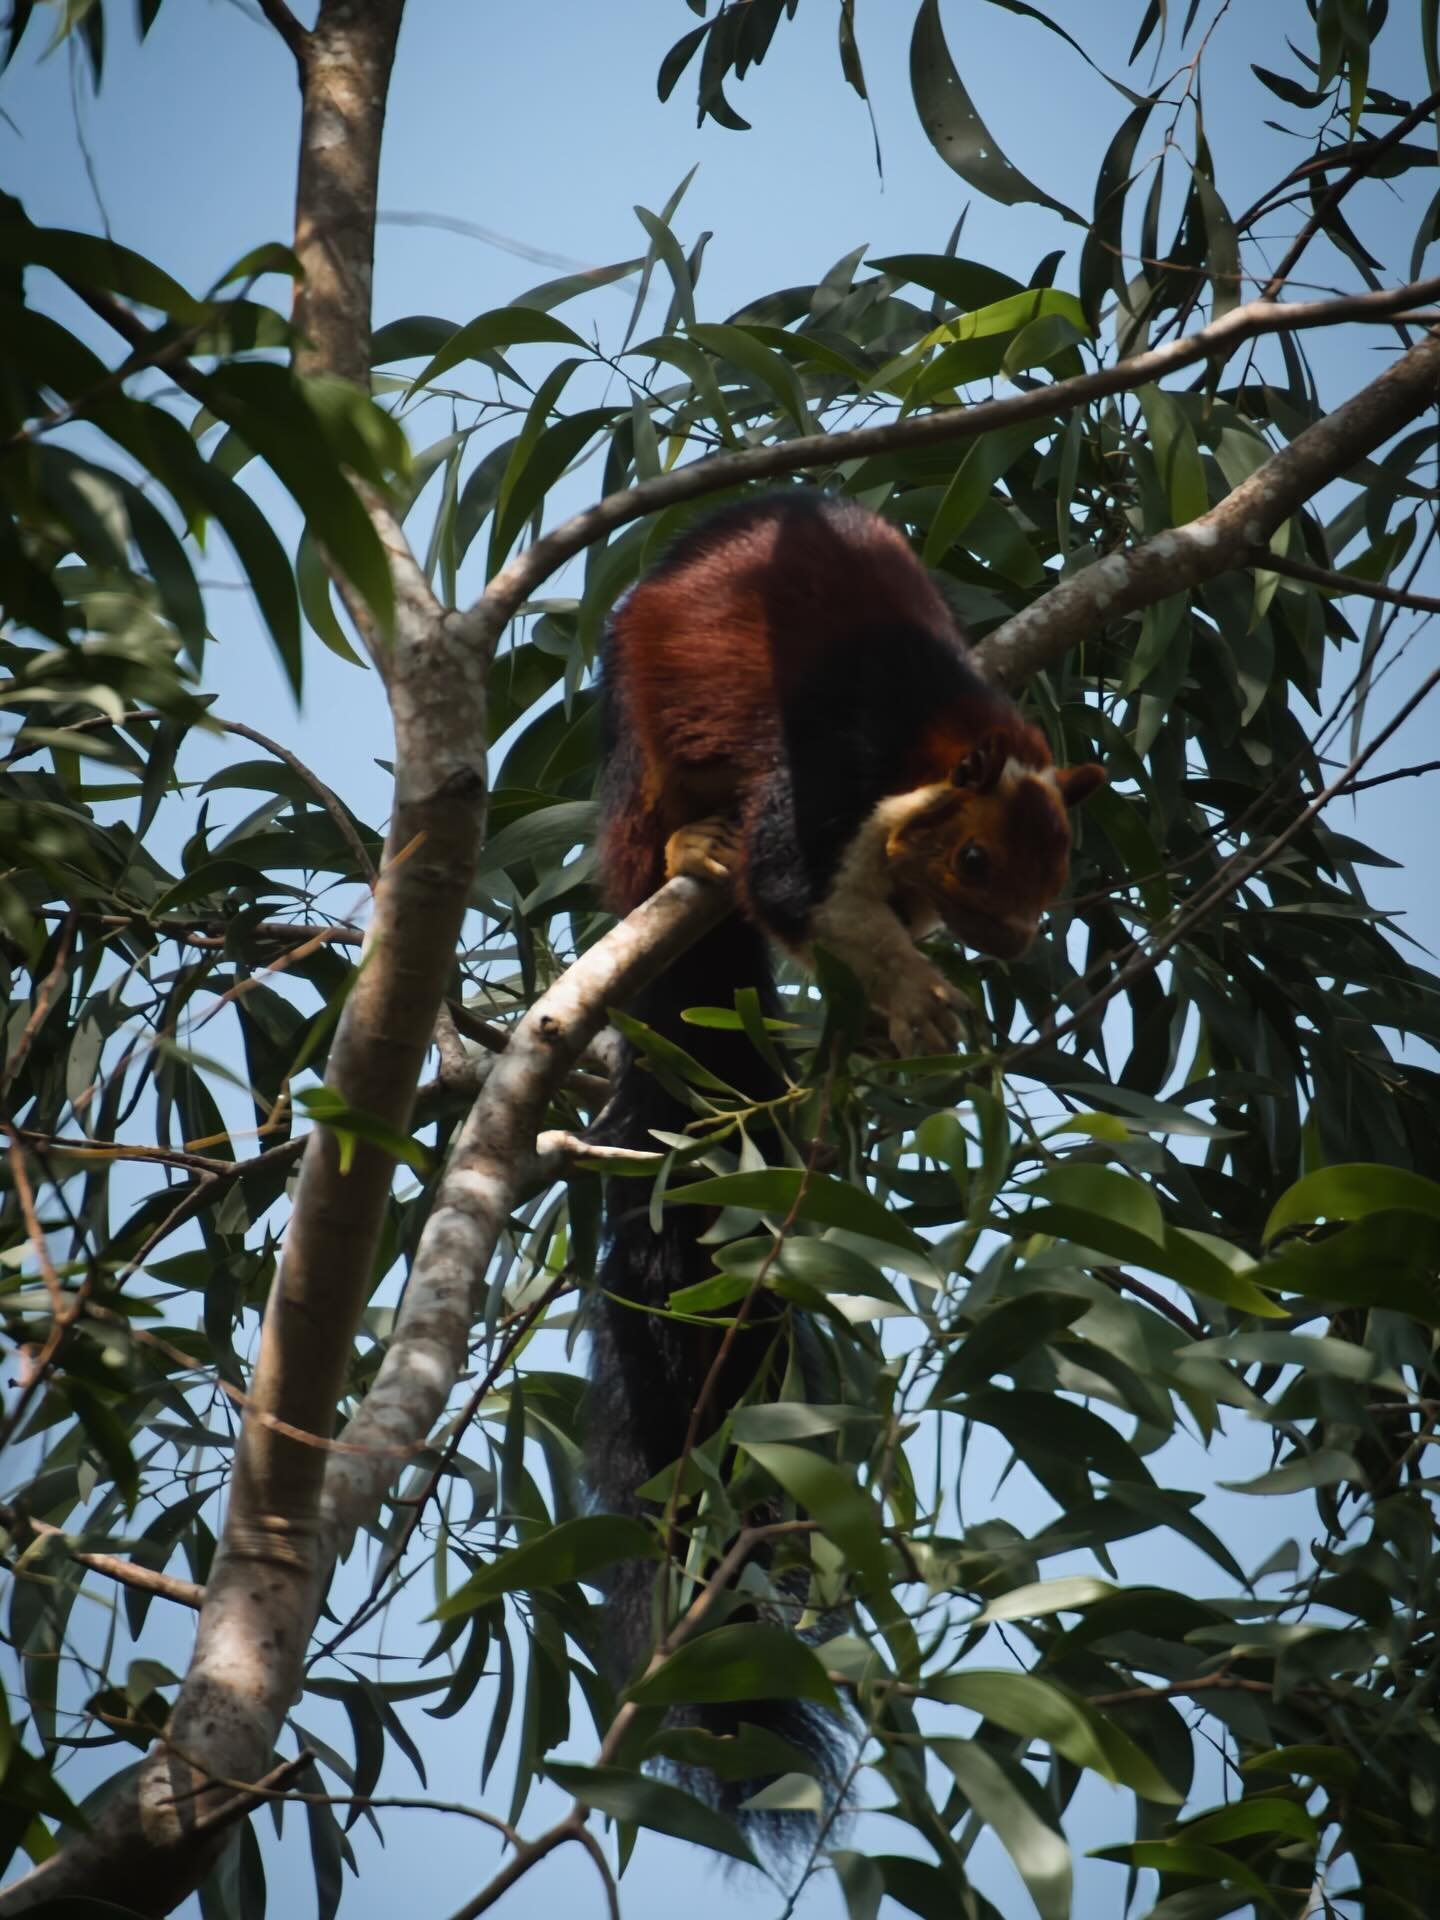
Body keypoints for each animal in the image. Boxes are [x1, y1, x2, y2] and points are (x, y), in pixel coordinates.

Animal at [583, 489, 1104, 1835]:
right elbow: (798, 890)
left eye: (1061, 867)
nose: (1015, 943)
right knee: (688, 838)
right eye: (978, 860)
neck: (942, 738)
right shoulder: (824, 778)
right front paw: (914, 999)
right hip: (652, 752)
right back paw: (690, 853)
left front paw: (896, 1001)